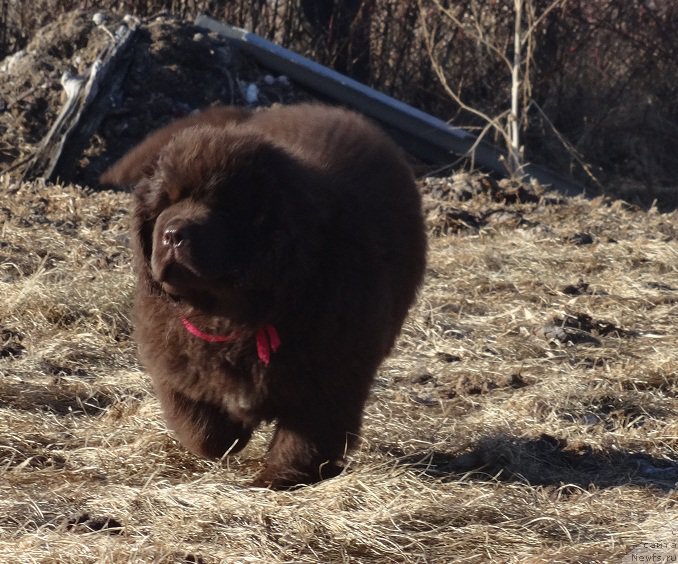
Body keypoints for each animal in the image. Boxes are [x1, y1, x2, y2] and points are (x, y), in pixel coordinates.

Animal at [103, 103, 428, 486]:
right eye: (165, 203)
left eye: (223, 205)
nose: (173, 235)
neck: (230, 313)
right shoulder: (173, 357)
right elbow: (201, 428)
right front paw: (230, 435)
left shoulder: (329, 375)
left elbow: (306, 436)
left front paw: (278, 478)